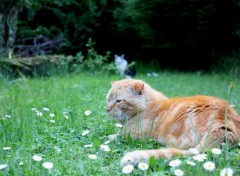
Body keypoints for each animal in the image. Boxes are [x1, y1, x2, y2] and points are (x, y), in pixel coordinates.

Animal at [106, 79, 240, 166]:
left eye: (118, 101)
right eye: (108, 99)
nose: (107, 109)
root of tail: (224, 123)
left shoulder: (133, 135)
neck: (147, 105)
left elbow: (115, 136)